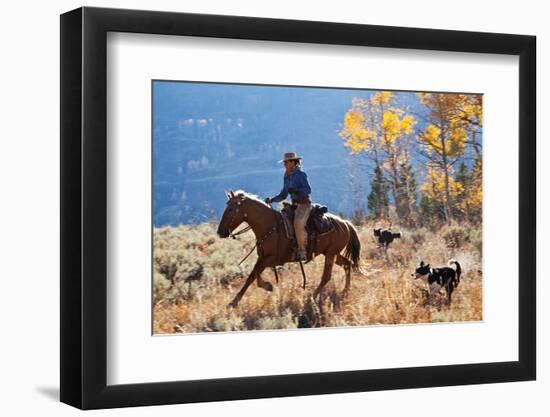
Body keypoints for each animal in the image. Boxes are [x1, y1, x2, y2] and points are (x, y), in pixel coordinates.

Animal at [217, 190, 366, 308]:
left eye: (230, 209)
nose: (220, 232)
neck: (269, 226)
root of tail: (345, 223)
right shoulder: (262, 258)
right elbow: (251, 276)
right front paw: (233, 302)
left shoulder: (272, 259)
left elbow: (256, 275)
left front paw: (268, 286)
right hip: (332, 253)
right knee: (348, 264)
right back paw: (345, 291)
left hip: (330, 254)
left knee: (327, 276)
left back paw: (312, 296)